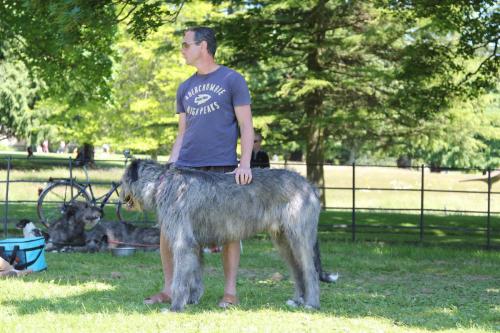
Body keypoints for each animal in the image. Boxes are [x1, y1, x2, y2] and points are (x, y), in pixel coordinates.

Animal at [119, 160, 334, 310]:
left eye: (123, 179)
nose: (119, 194)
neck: (162, 182)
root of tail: (309, 186)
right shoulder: (195, 245)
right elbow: (195, 274)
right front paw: (192, 300)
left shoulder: (182, 242)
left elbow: (180, 279)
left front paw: (176, 307)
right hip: (283, 240)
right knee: (297, 270)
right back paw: (297, 301)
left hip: (299, 236)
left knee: (309, 270)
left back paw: (311, 304)